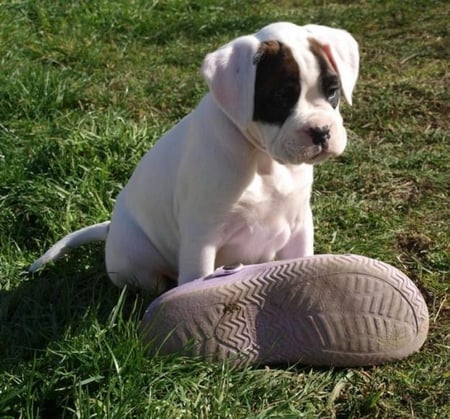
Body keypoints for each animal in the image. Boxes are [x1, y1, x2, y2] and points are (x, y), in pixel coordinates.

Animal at [29, 22, 358, 292]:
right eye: (280, 98)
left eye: (332, 90)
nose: (320, 131)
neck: (262, 161)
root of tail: (110, 229)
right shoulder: (202, 238)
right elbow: (196, 279)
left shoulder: (299, 224)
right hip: (133, 261)